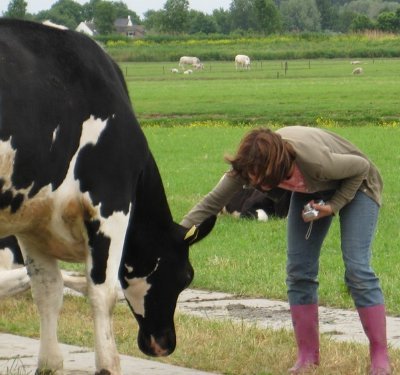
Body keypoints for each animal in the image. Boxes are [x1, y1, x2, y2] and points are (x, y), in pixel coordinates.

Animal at [0, 19, 216, 374]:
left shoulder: (32, 222)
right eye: (187, 276)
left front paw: (49, 363)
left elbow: (47, 291)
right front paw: (108, 364)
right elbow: (103, 292)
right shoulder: (109, 206)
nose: (164, 344)